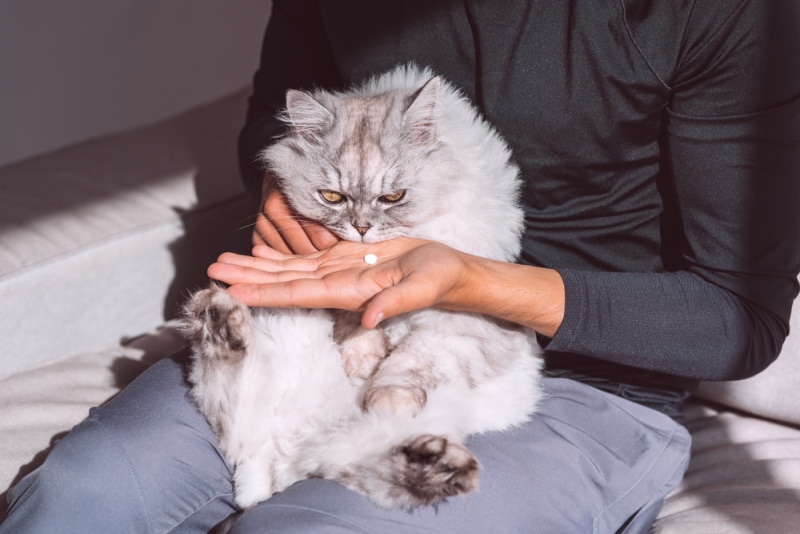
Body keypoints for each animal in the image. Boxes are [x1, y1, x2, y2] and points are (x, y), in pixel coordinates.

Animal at [181, 65, 544, 512]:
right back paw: (218, 317)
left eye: (393, 197)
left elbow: (408, 363)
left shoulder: (459, 325)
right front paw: (363, 360)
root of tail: (273, 462)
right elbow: (356, 321)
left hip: (355, 445)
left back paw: (435, 462)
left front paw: (380, 392)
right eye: (332, 197)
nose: (361, 228)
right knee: (230, 391)